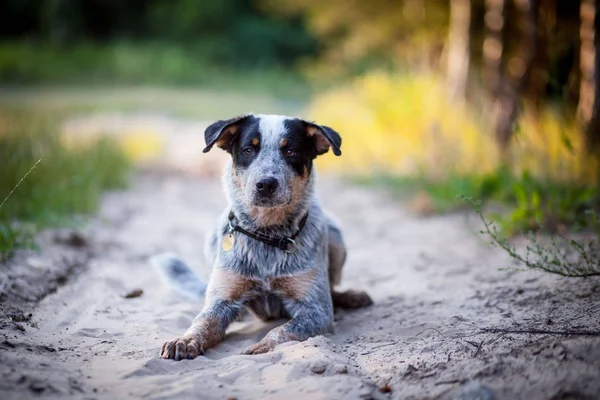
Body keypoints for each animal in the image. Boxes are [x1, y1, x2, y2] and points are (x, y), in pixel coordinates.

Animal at [152, 113, 372, 360]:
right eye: (248, 149)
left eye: (290, 151)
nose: (266, 184)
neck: (267, 234)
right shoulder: (221, 301)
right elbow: (203, 322)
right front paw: (185, 340)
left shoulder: (316, 310)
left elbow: (282, 330)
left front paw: (262, 346)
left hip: (336, 237)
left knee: (333, 290)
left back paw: (351, 297)